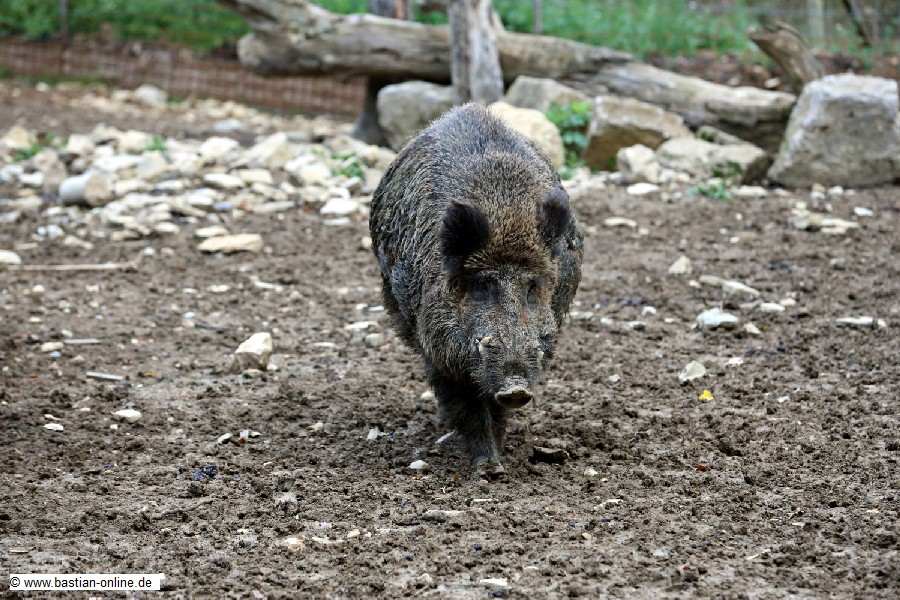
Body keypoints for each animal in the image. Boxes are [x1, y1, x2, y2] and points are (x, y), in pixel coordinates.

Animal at [369, 104, 583, 477]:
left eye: (532, 286)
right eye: (483, 284)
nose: (515, 388)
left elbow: (496, 411)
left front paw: (498, 464)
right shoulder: (438, 347)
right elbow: (466, 404)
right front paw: (489, 469)